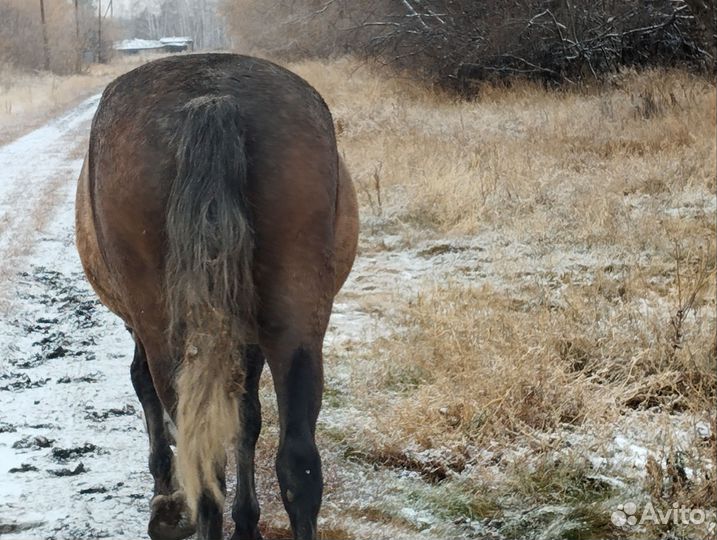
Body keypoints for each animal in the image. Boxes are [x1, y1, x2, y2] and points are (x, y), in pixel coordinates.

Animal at [75, 53, 359, 540]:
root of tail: (213, 99)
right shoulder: (249, 338)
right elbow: (247, 419)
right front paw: (246, 522)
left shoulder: (140, 329)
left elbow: (143, 387)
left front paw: (166, 502)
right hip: (297, 319)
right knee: (299, 465)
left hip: (165, 332)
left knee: (203, 462)